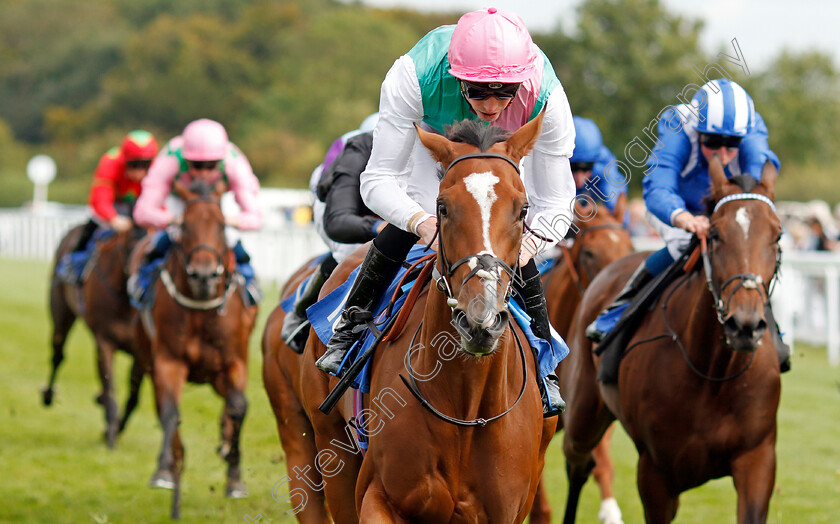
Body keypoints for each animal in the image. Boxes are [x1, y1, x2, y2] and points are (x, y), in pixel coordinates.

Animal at [45, 221, 147, 446]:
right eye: (131, 242)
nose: (139, 281)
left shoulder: (143, 352)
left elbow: (134, 396)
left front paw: (117, 427)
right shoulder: (105, 341)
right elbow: (110, 386)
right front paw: (110, 434)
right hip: (61, 310)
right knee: (58, 355)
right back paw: (48, 394)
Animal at [135, 181, 258, 520]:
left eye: (222, 225)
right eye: (184, 226)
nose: (204, 276)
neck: (202, 309)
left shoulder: (234, 361)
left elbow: (239, 406)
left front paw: (234, 474)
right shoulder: (168, 362)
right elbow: (170, 415)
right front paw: (169, 477)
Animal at [262, 112, 552, 520]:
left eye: (523, 209)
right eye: (442, 207)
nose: (479, 322)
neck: (466, 409)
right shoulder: (378, 495)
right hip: (321, 441)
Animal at [560, 157, 784, 524]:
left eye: (777, 235)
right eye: (715, 234)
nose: (745, 325)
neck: (713, 373)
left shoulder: (757, 459)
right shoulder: (655, 471)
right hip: (581, 414)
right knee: (578, 464)